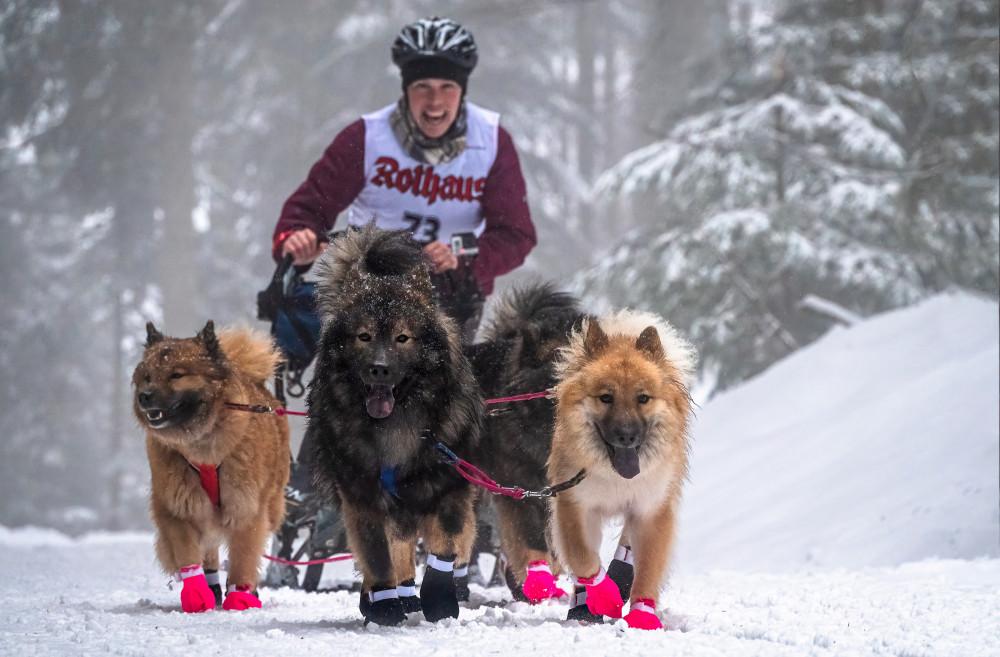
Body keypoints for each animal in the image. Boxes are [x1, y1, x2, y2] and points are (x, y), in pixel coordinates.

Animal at [132, 321, 290, 612]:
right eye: (148, 376)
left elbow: (244, 557)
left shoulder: (246, 507)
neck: (202, 442)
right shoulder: (177, 505)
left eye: (176, 375)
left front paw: (240, 596)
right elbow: (188, 553)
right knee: (209, 548)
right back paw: (213, 587)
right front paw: (197, 593)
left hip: (271, 505)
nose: (144, 397)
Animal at [307, 223, 483, 626]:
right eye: (364, 336)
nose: (379, 368)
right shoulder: (361, 493)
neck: (396, 426)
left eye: (403, 338)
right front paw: (385, 603)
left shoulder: (448, 485)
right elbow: (377, 554)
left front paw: (439, 600)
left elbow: (445, 546)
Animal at [547, 310, 696, 629]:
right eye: (606, 397)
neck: (615, 477)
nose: (626, 436)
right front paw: (604, 594)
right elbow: (582, 558)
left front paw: (642, 613)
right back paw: (584, 607)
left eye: (643, 398)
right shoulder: (574, 504)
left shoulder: (652, 510)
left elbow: (649, 566)